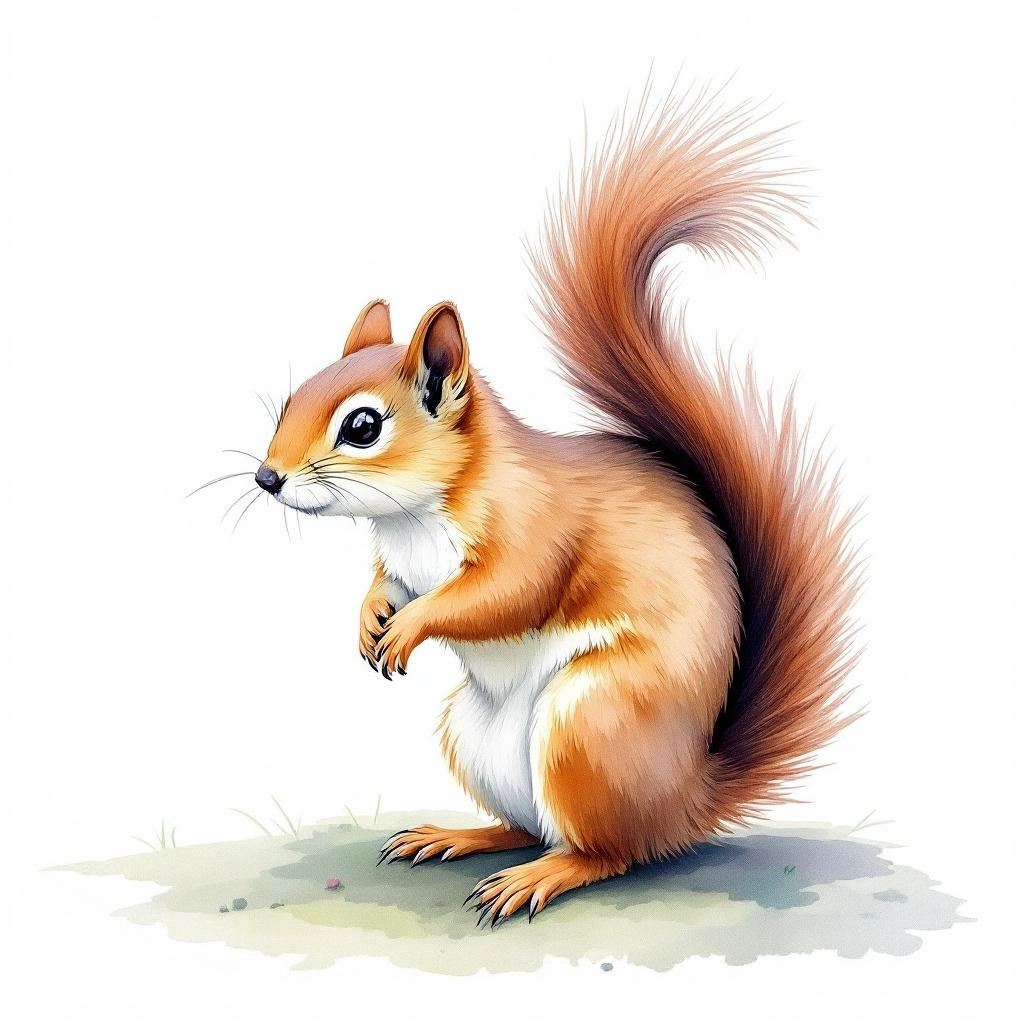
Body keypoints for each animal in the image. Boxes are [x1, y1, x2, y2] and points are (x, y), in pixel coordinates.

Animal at [253, 87, 860, 924]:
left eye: (363, 426)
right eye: (290, 400)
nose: (266, 478)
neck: (411, 517)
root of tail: (686, 800)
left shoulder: (536, 527)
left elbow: (506, 593)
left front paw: (409, 627)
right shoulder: (402, 557)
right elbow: (388, 582)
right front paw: (371, 616)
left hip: (589, 723)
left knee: (606, 852)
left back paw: (541, 876)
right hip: (474, 736)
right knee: (527, 825)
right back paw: (461, 837)